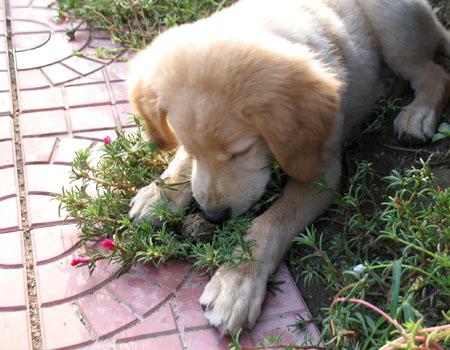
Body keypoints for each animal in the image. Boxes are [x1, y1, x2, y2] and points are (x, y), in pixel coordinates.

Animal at [126, 0, 450, 334]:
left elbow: (270, 224)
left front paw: (237, 281)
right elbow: (182, 163)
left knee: (434, 73)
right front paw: (161, 194)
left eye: (240, 151)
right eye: (190, 148)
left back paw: (419, 112)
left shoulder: (320, 175)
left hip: (392, 29)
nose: (214, 216)